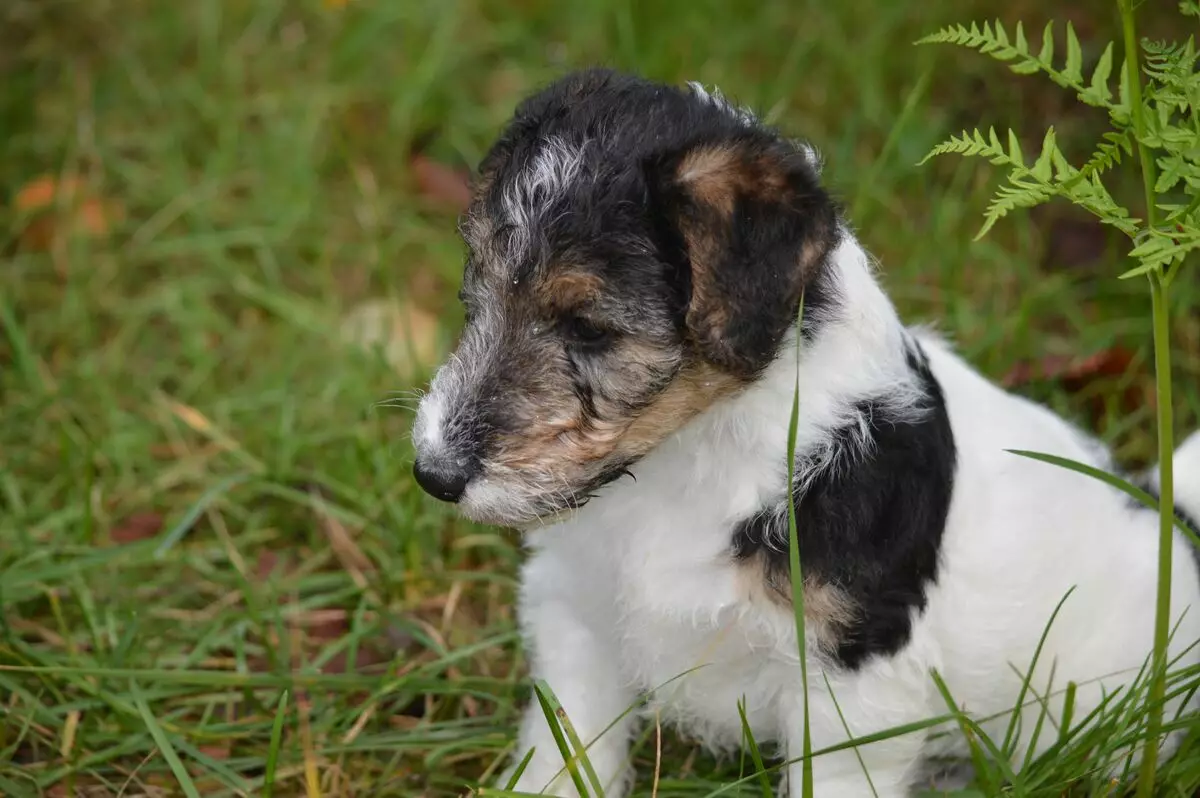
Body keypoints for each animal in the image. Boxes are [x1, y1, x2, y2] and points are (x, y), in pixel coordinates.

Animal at [410, 69, 1200, 796]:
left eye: (589, 327)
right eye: (476, 292)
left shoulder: (852, 681)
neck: (689, 458)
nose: (433, 475)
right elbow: (567, 746)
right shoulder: (576, 613)